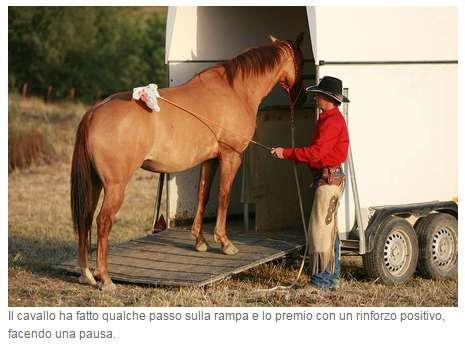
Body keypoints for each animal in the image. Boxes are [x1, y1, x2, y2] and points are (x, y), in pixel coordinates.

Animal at [70, 34, 304, 290]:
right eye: (302, 60)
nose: (302, 97)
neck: (235, 91)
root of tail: (94, 112)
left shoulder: (210, 160)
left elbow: (203, 195)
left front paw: (200, 241)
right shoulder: (230, 156)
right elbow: (224, 195)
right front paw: (225, 243)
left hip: (94, 184)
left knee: (85, 218)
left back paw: (86, 274)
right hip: (115, 186)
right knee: (103, 222)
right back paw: (106, 279)